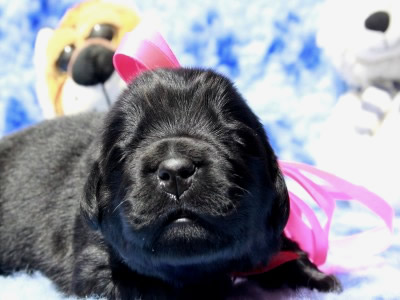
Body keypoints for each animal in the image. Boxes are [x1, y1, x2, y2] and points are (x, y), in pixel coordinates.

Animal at [0, 69, 340, 298]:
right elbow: (145, 286)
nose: (176, 171)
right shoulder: (95, 262)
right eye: (126, 147)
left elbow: (285, 251)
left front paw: (318, 278)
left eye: (231, 137)